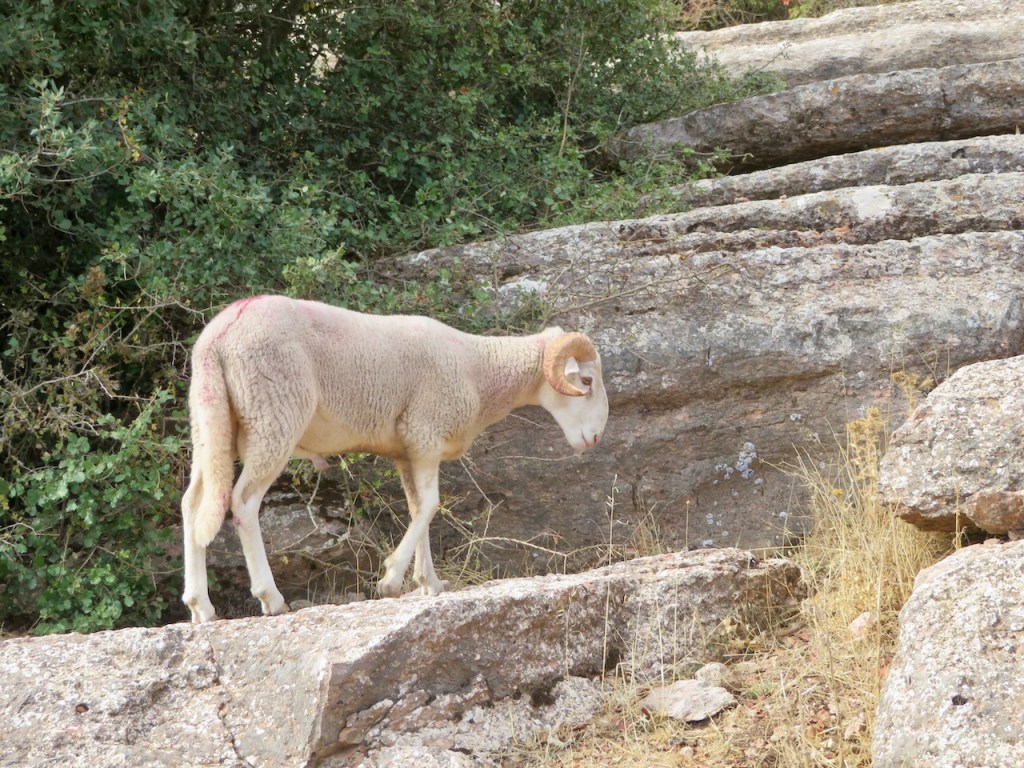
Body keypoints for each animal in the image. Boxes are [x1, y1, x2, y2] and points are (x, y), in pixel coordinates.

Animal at [180, 294, 609, 622]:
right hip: (273, 415)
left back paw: (200, 607)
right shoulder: (425, 433)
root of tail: (220, 335)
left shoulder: (408, 451)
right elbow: (432, 505)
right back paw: (271, 598)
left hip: (211, 423)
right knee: (243, 501)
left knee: (193, 503)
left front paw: (429, 583)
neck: (479, 369)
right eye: (586, 381)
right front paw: (391, 580)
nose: (595, 438)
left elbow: (419, 507)